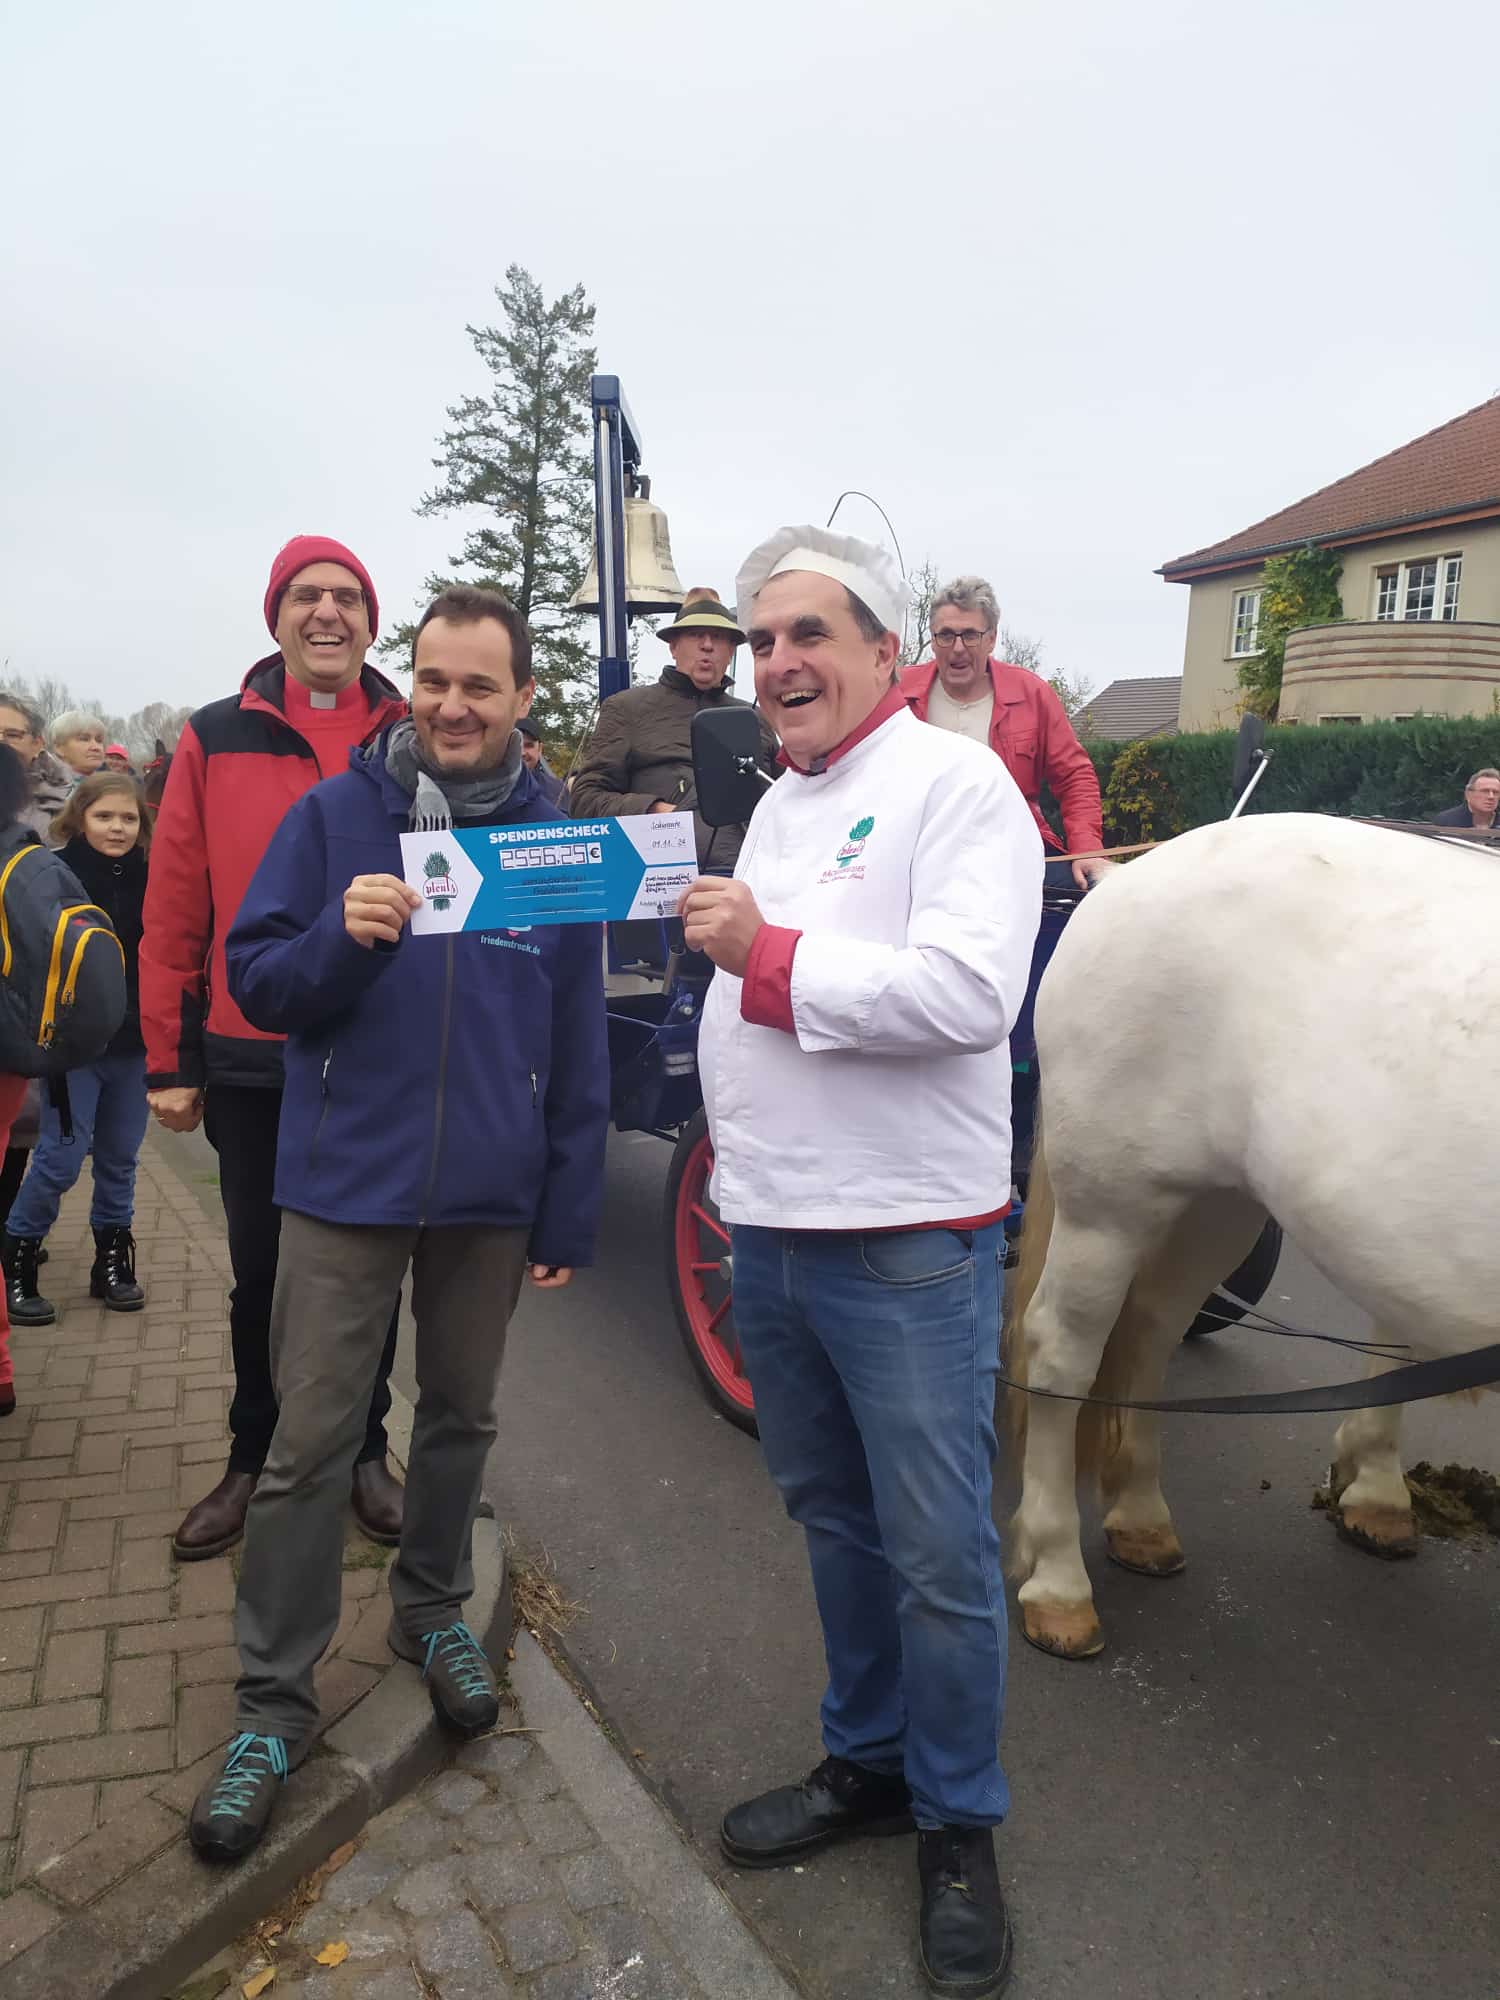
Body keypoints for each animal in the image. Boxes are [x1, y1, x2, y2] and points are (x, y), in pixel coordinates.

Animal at [1012, 808, 1500, 1656]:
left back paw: (1141, 1519)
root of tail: (1123, 879)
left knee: (1152, 1329)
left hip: (1216, 1202)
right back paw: (1057, 1581)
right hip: (1108, 1205)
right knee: (1063, 1356)